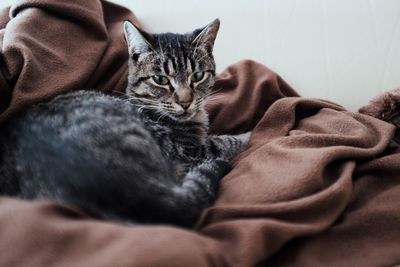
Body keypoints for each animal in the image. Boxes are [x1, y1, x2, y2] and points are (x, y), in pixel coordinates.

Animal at [0, 19, 250, 228]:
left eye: (197, 76)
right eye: (160, 79)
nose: (185, 102)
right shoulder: (188, 151)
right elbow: (224, 142)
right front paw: (247, 134)